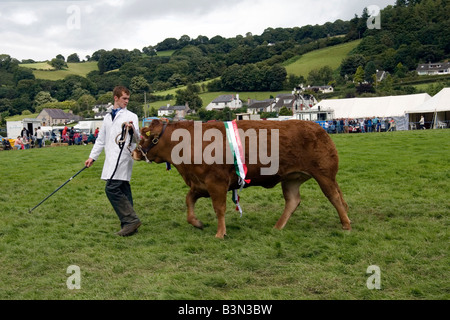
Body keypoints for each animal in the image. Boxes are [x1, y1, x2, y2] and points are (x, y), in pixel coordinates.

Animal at [133, 119, 352, 238]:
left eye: (148, 136)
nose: (134, 152)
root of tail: (319, 128)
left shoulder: (216, 182)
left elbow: (219, 208)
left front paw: (220, 233)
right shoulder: (199, 184)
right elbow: (189, 200)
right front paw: (196, 222)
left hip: (324, 174)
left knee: (334, 197)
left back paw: (346, 224)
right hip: (291, 178)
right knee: (293, 201)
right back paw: (277, 227)